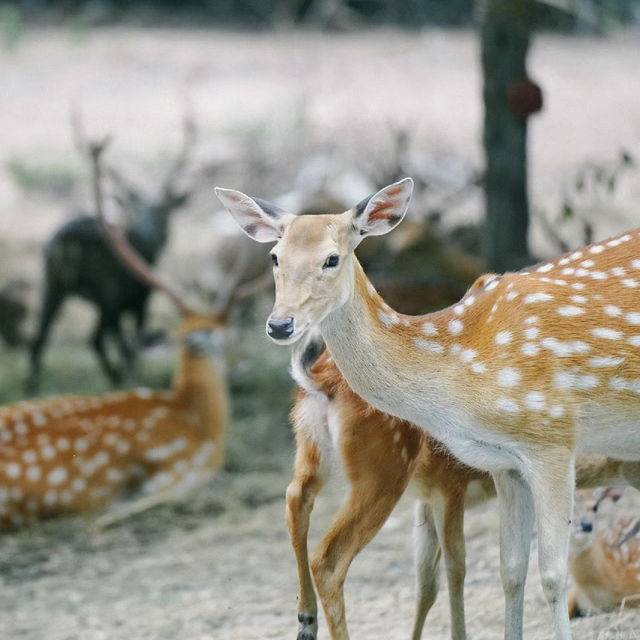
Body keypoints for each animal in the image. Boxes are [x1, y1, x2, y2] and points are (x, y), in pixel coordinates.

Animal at [26, 106, 198, 390]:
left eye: (162, 211)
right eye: (134, 209)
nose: (148, 234)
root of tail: (67, 241)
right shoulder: (140, 298)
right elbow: (131, 345)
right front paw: (131, 378)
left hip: (52, 280)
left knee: (40, 337)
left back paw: (34, 386)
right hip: (106, 290)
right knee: (96, 339)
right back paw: (118, 379)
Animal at [216, 179, 640, 640]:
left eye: (332, 258)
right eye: (275, 256)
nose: (280, 324)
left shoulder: (552, 437)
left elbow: (550, 574)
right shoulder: (504, 462)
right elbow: (511, 570)